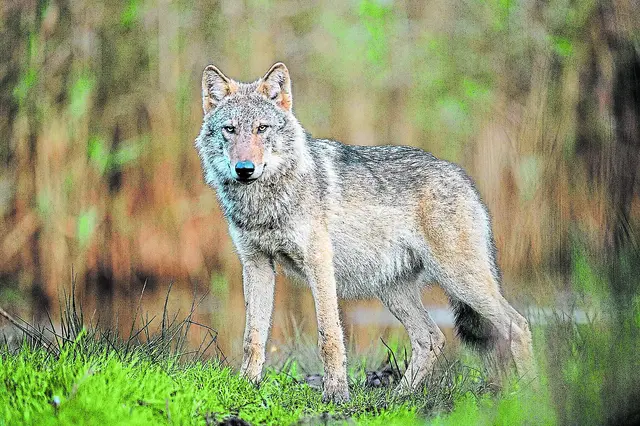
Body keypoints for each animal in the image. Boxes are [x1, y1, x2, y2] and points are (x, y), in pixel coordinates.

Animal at [194, 62, 534, 403]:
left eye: (262, 128)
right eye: (230, 129)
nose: (244, 169)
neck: (264, 203)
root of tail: (462, 176)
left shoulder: (319, 264)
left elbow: (329, 336)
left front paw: (336, 394)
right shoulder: (256, 264)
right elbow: (252, 336)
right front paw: (246, 387)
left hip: (460, 280)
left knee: (517, 324)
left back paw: (529, 394)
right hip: (394, 291)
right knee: (431, 338)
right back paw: (399, 397)